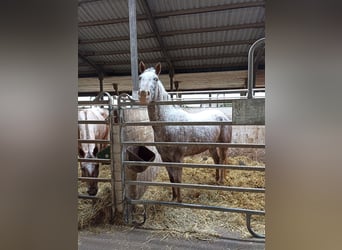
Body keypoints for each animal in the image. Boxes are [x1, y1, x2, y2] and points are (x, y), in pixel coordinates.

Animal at [137, 61, 232, 202]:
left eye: (156, 79)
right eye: (140, 77)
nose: (143, 94)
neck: (168, 122)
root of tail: (223, 116)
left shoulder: (178, 157)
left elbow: (178, 179)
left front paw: (180, 200)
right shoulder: (165, 158)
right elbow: (172, 179)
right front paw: (173, 198)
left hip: (223, 146)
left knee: (223, 161)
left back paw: (221, 181)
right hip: (211, 146)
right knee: (217, 160)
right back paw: (215, 180)